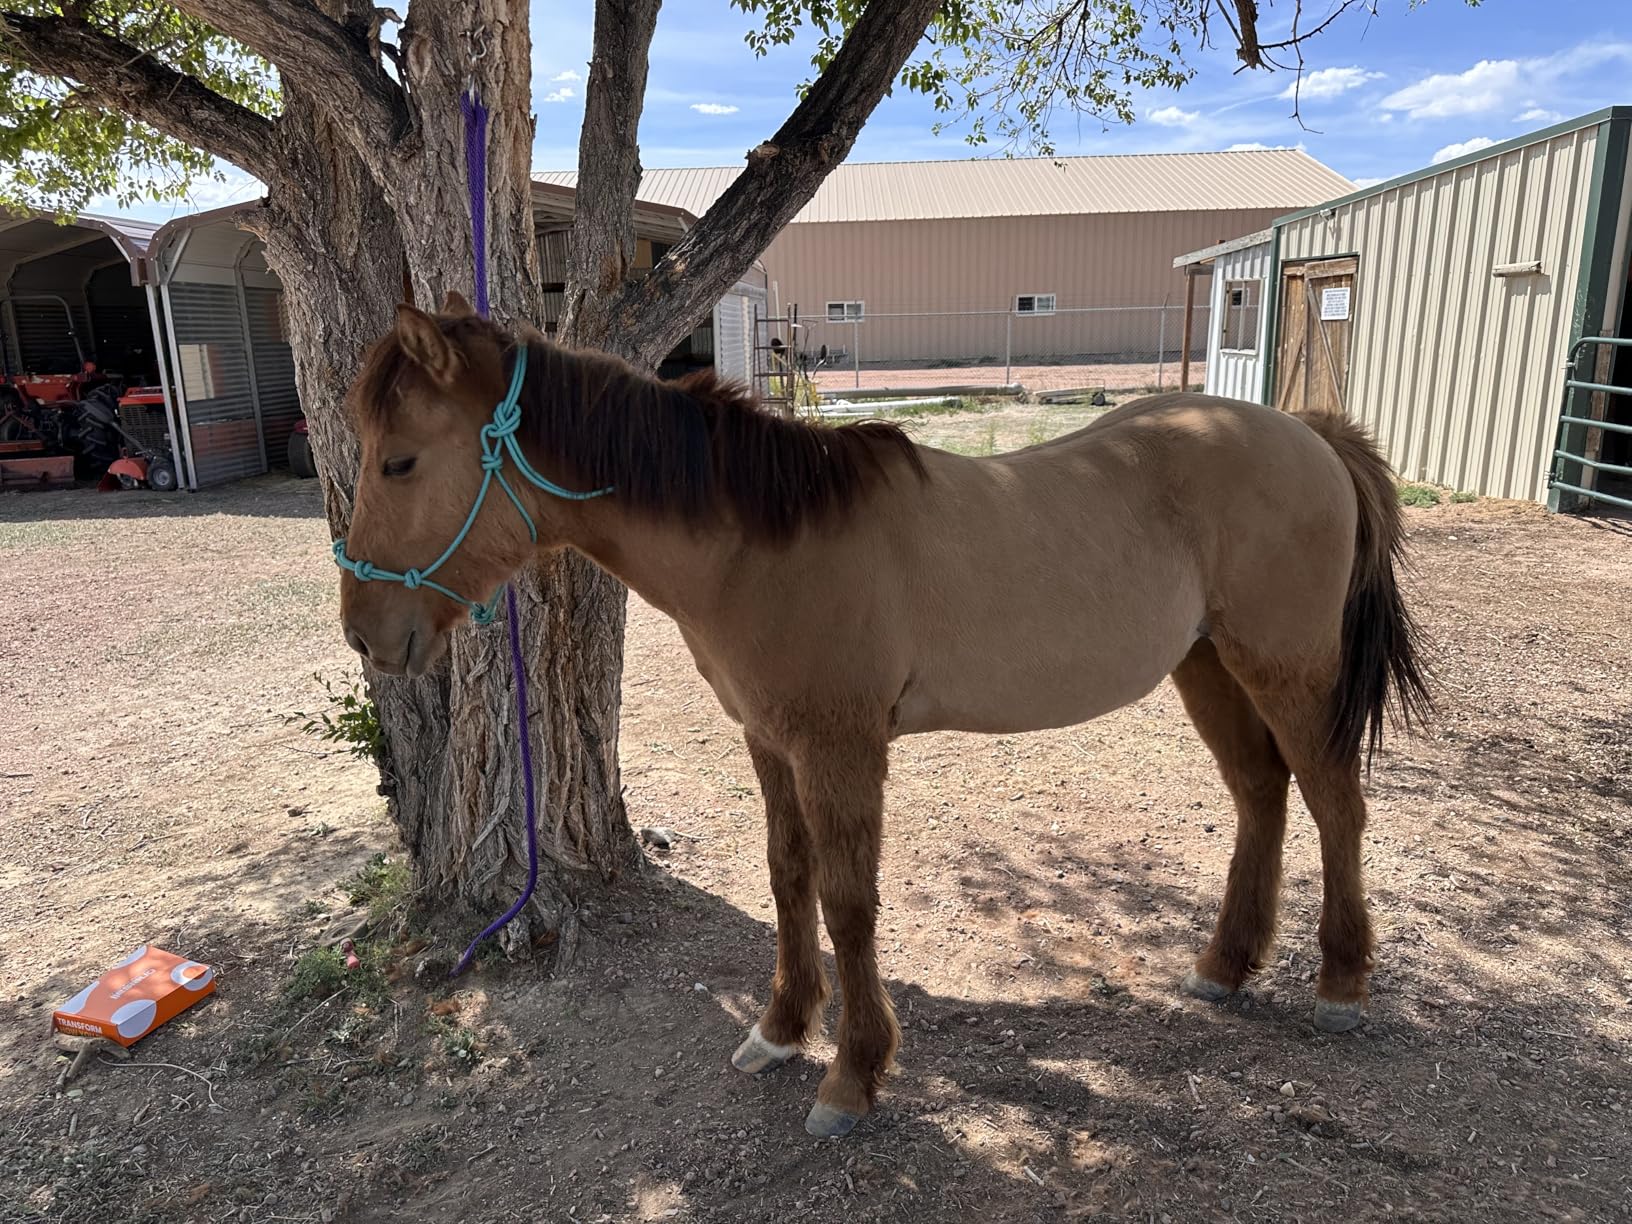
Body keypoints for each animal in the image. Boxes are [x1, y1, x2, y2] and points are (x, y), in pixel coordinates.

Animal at [336, 292, 1430, 1139]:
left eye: (400, 462)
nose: (364, 633)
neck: (759, 541)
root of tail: (1307, 432)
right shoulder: (769, 743)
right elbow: (787, 880)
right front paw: (780, 1031)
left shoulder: (840, 748)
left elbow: (847, 902)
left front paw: (852, 1076)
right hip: (1207, 666)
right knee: (1261, 795)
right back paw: (1224, 965)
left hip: (1286, 668)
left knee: (1334, 803)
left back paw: (1340, 985)